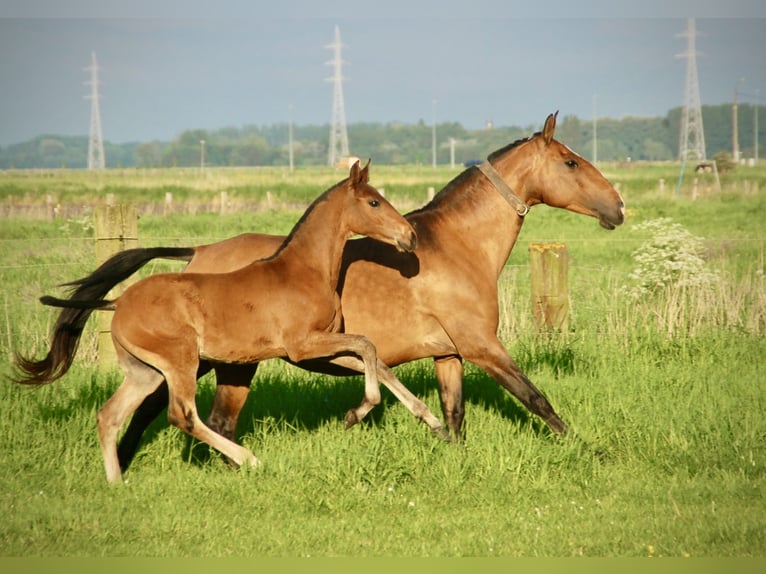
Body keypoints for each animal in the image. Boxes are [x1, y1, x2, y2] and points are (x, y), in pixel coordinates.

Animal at [13, 162, 450, 486]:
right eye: (374, 201)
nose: (409, 236)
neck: (303, 271)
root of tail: (118, 301)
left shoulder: (319, 347)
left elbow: (375, 361)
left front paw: (430, 421)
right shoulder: (303, 346)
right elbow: (367, 346)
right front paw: (360, 412)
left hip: (144, 371)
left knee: (110, 416)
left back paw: (116, 482)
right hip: (180, 363)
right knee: (183, 415)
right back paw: (248, 459)